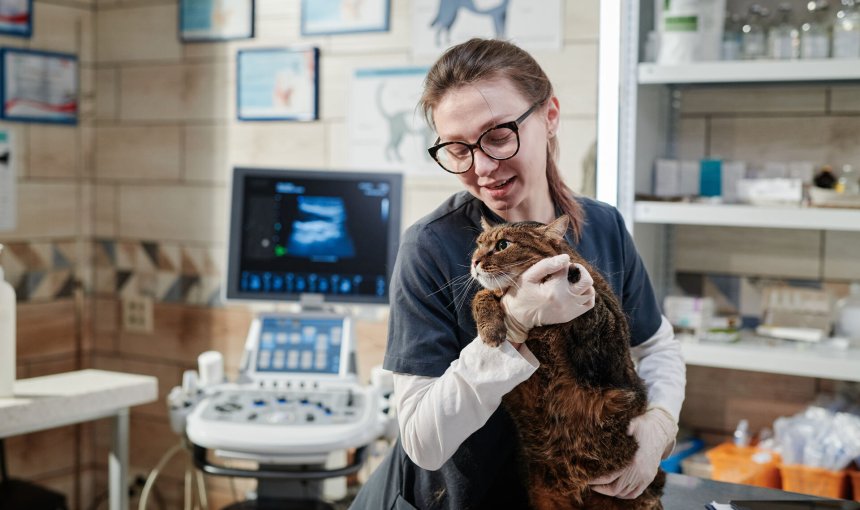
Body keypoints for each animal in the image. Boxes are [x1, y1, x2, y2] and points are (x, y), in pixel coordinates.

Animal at [470, 215, 664, 510]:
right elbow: (483, 295)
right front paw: (491, 328)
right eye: (479, 245)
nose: (475, 261)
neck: (543, 327)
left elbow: (593, 304)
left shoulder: (609, 348)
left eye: (503, 245)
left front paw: (570, 274)